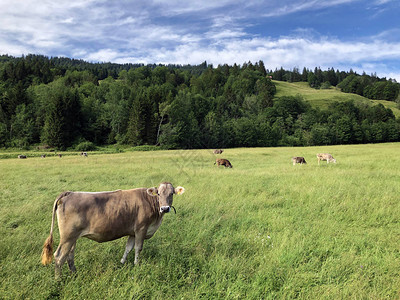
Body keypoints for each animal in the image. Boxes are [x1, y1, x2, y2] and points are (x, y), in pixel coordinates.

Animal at [40, 182, 184, 278]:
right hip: (67, 236)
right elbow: (138, 248)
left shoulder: (132, 232)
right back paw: (58, 280)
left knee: (69, 255)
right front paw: (137, 265)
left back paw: (74, 273)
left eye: (171, 193)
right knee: (59, 256)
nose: (165, 208)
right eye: (158, 193)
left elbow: (128, 248)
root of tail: (69, 193)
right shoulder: (141, 229)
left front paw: (122, 263)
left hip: (73, 237)